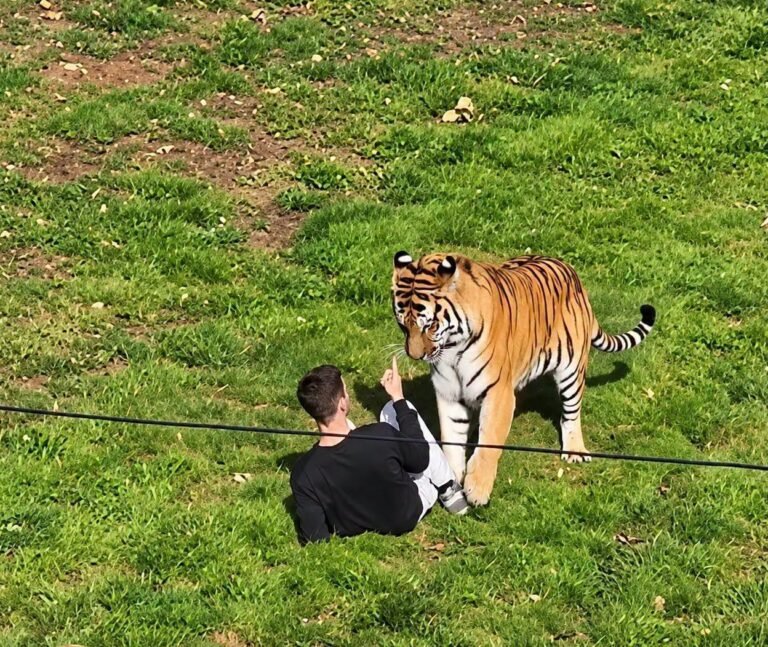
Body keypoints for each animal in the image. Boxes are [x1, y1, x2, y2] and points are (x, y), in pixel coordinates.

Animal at [391, 251, 656, 506]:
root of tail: (573, 276)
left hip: (572, 369)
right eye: (403, 325)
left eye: (430, 325)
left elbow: (489, 442)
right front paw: (452, 479)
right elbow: (452, 440)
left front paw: (477, 490)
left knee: (571, 413)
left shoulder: (497, 393)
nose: (415, 355)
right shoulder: (449, 394)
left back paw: (575, 451)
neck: (452, 349)